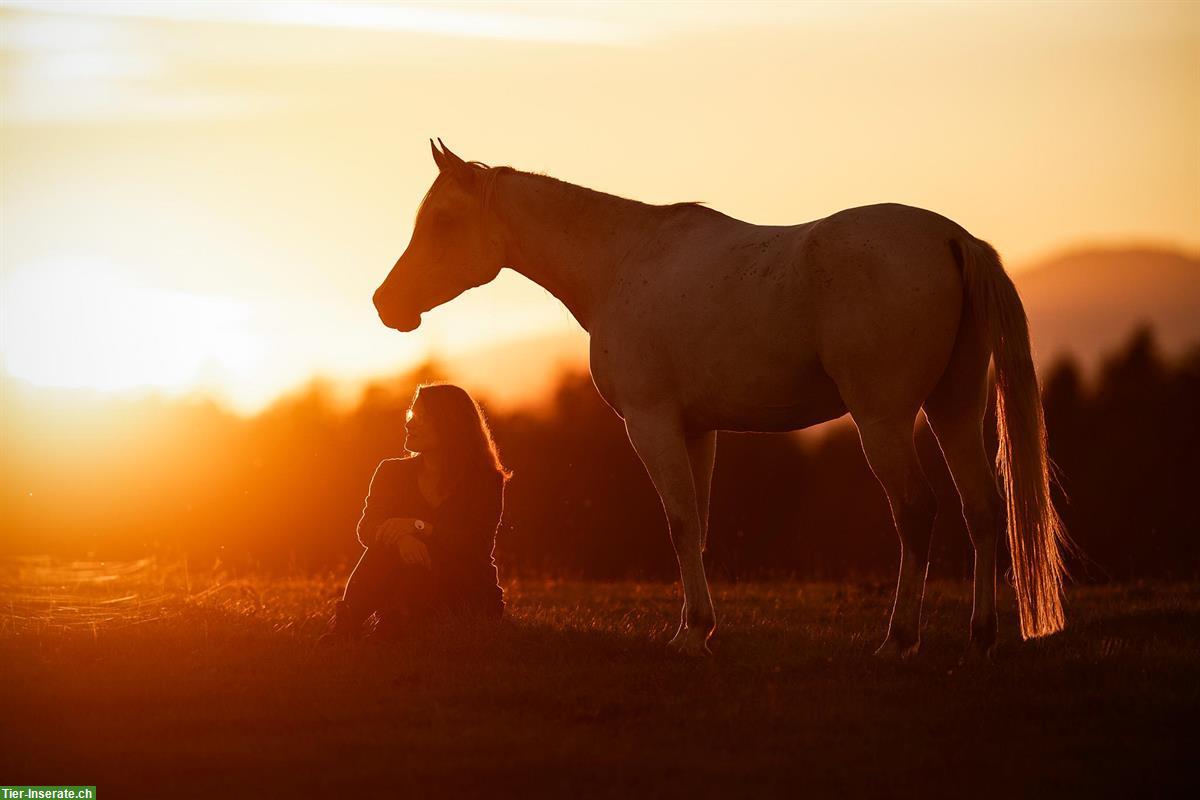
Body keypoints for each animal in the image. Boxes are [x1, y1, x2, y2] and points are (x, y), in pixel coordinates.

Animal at [374, 140, 1070, 662]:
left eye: (443, 222)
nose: (386, 303)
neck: (621, 263)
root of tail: (952, 239)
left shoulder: (652, 424)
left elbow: (680, 521)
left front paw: (690, 635)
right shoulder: (697, 429)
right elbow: (700, 524)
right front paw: (702, 627)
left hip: (885, 420)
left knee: (916, 511)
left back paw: (899, 640)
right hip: (954, 409)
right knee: (982, 507)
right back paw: (980, 638)